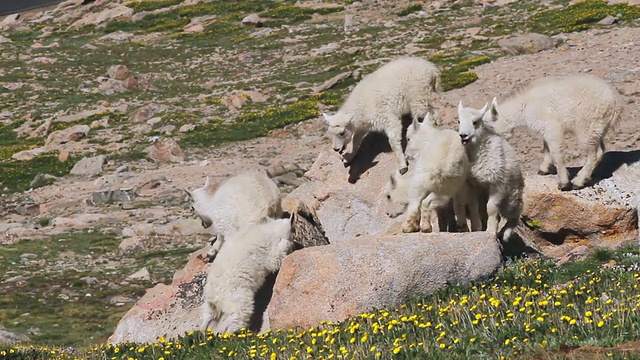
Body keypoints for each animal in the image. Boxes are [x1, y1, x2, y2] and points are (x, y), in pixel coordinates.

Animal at [460, 101, 524, 242]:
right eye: (458, 121)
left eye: (475, 122)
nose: (463, 135)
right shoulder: (472, 184)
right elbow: (473, 207)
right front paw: (477, 229)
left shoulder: (498, 184)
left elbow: (492, 208)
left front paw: (490, 231)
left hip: (511, 195)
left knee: (515, 214)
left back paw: (505, 234)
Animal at [484, 73, 620, 191]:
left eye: (488, 127)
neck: (524, 106)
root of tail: (615, 103)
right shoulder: (546, 129)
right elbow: (546, 149)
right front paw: (543, 170)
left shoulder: (552, 127)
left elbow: (557, 154)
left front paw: (564, 183)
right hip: (598, 128)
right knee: (600, 150)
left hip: (587, 126)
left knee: (594, 154)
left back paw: (578, 182)